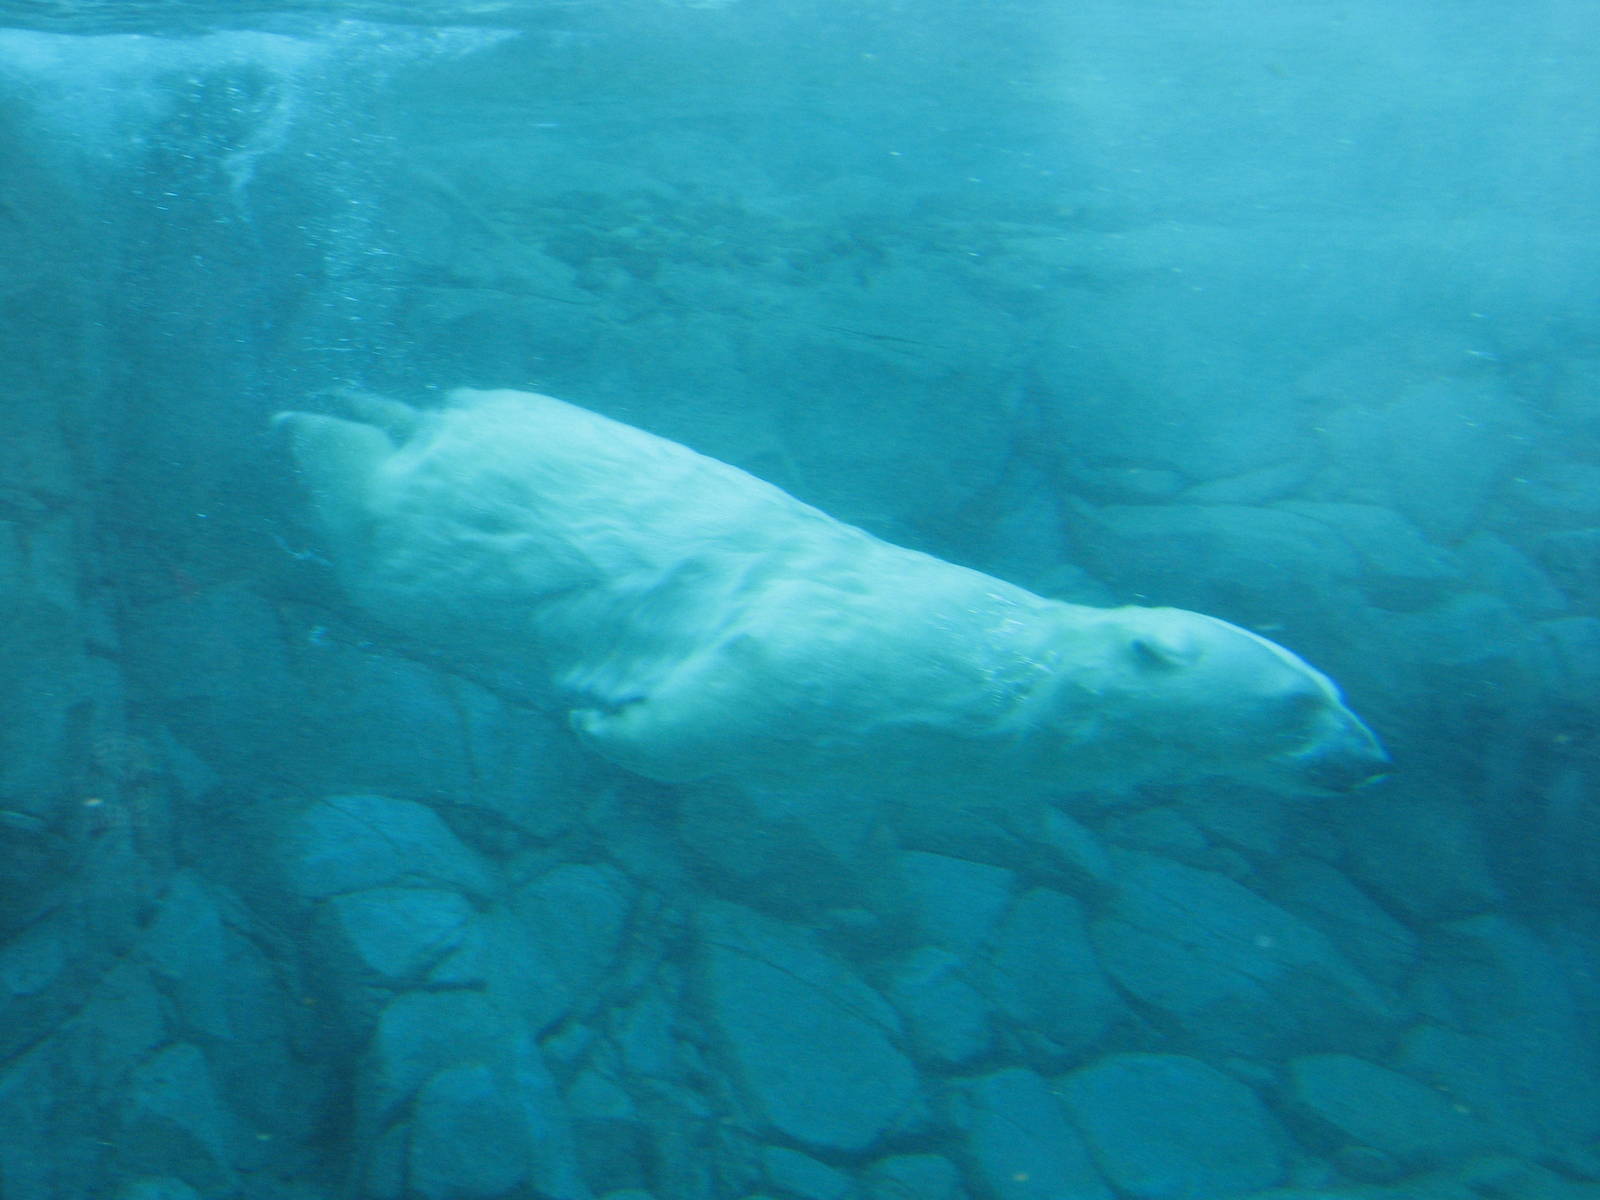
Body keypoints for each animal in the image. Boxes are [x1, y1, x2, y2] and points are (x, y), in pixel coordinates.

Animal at [274, 388, 1387, 804]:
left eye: (1338, 691)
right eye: (1300, 701)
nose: (1373, 756)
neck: (1026, 676)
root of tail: (456, 408)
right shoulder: (860, 660)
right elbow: (735, 694)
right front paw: (603, 720)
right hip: (456, 530)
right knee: (380, 525)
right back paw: (313, 426)